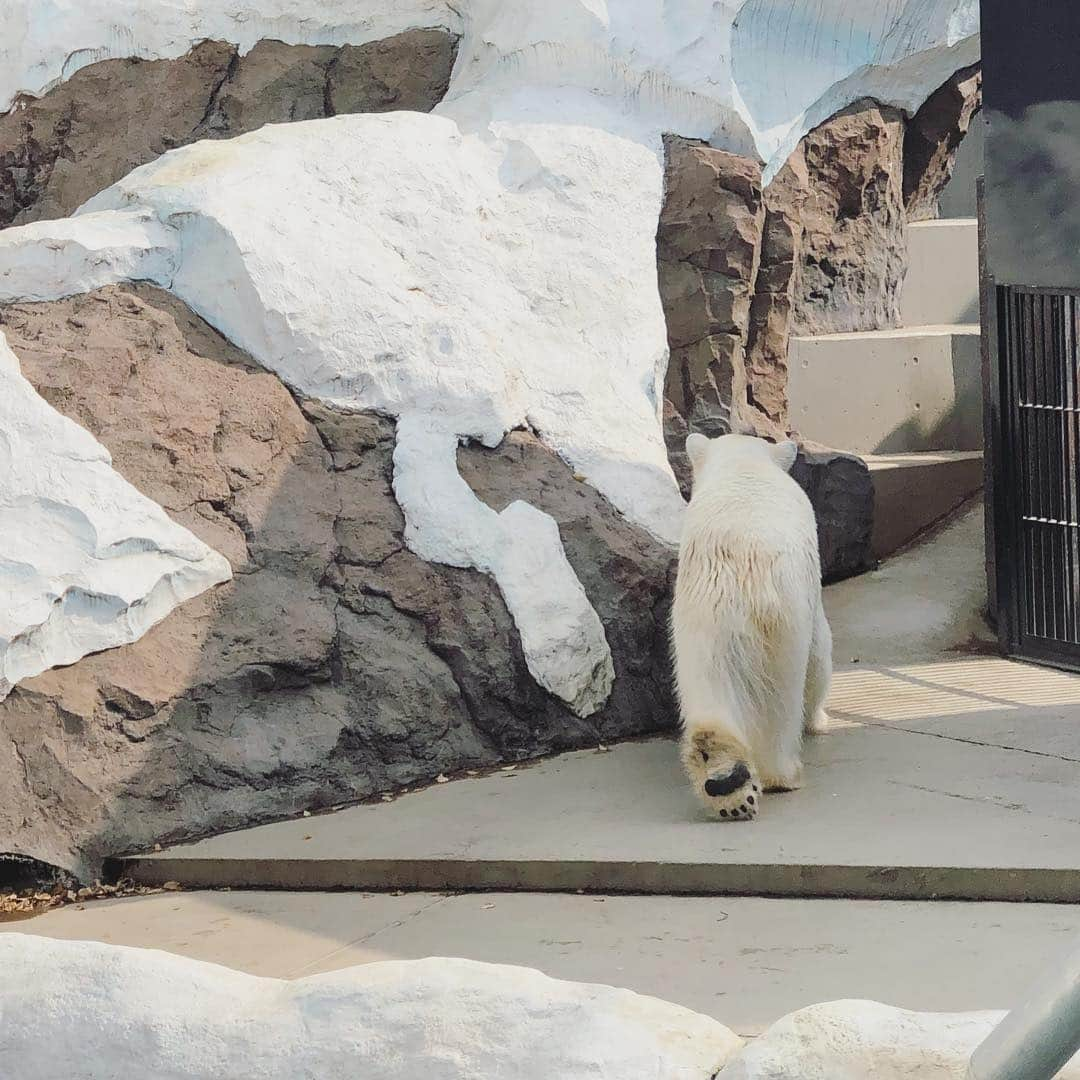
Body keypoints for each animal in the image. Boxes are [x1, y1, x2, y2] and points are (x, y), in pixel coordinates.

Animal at [669, 429, 829, 816]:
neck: (743, 467)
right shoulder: (809, 585)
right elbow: (821, 652)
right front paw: (820, 720)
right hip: (781, 618)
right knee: (782, 696)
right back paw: (782, 775)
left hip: (699, 622)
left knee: (708, 689)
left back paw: (725, 779)